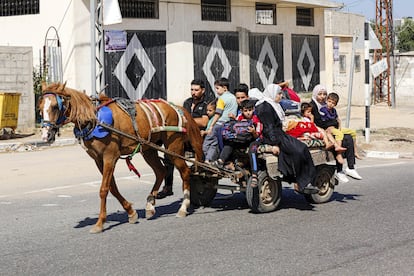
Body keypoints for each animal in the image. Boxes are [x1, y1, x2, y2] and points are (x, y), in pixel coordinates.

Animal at [38, 82, 204, 233]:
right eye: (40, 108)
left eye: (55, 107)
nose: (46, 135)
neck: (95, 119)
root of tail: (176, 108)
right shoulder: (99, 160)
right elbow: (113, 188)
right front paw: (131, 212)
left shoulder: (109, 157)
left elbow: (104, 189)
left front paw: (100, 223)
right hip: (149, 149)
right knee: (160, 171)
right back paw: (150, 204)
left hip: (173, 147)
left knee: (185, 172)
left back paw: (183, 207)